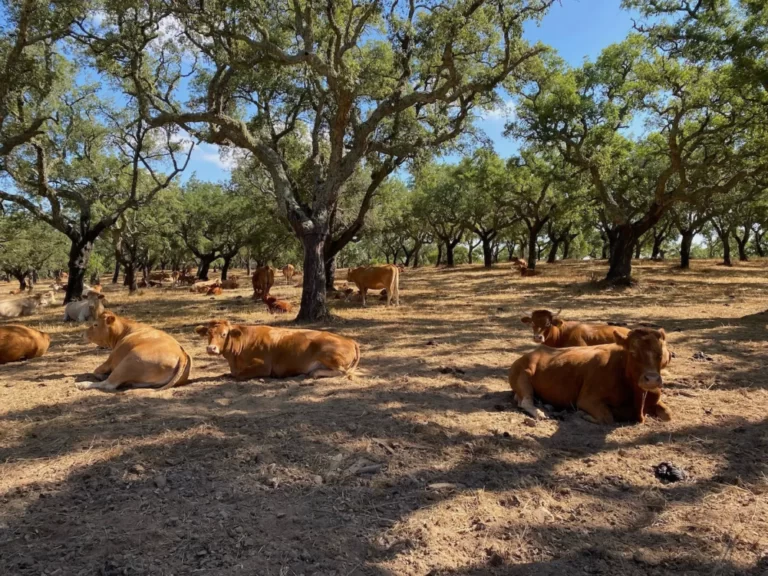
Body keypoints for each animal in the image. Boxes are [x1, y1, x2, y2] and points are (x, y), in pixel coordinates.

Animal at [194, 318, 358, 380]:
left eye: (224, 334)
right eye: (208, 334)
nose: (211, 348)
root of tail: (350, 340)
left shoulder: (263, 366)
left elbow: (239, 375)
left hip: (328, 355)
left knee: (343, 372)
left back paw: (315, 373)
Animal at [510, 326, 672, 426]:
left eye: (660, 354)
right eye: (632, 353)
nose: (651, 380)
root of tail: (532, 353)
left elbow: (668, 415)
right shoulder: (587, 399)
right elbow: (607, 417)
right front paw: (581, 415)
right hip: (522, 377)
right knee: (525, 401)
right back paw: (540, 412)